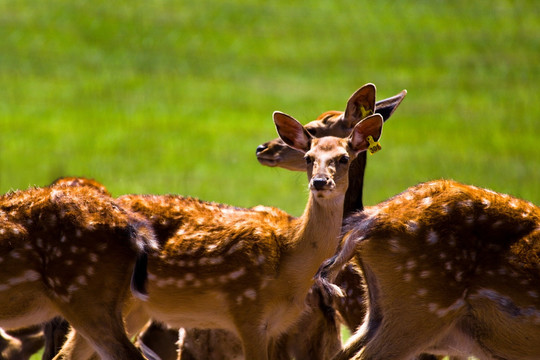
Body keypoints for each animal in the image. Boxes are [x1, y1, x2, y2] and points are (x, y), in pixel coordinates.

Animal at [53, 111, 384, 358]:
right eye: (308, 157)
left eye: (344, 158)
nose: (319, 182)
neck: (290, 255)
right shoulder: (247, 311)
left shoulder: (275, 327)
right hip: (97, 295)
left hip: (134, 308)